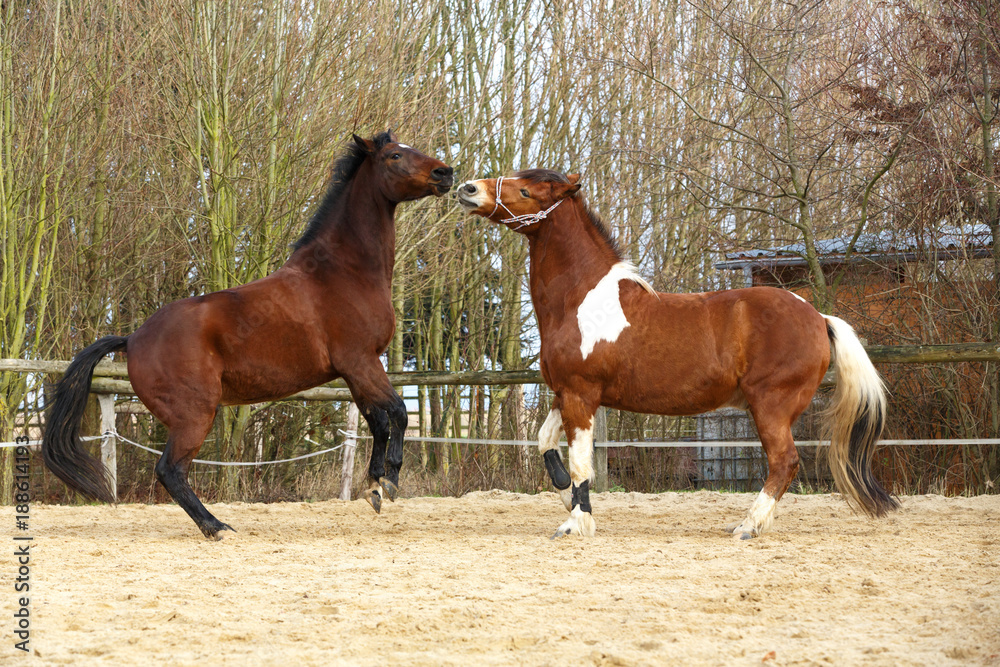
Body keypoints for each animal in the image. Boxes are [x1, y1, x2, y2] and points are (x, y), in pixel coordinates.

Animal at [43, 131, 453, 540]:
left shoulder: (355, 371)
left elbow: (378, 421)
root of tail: (132, 339)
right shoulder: (361, 361)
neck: (342, 273)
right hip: (195, 415)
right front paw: (391, 481)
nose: (445, 173)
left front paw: (374, 486)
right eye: (395, 155)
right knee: (170, 471)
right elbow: (398, 412)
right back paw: (216, 527)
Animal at [457, 169, 898, 539]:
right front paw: (570, 500)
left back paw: (747, 527)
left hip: (770, 405)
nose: (468, 188)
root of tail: (818, 316)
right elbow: (545, 444)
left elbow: (582, 462)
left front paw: (576, 523)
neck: (580, 301)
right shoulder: (564, 393)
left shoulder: (581, 395)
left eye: (526, 191)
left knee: (784, 462)